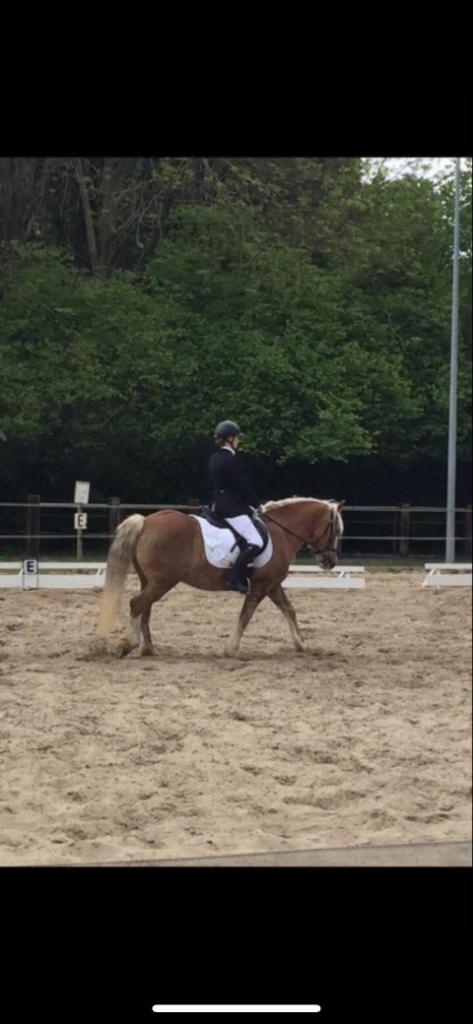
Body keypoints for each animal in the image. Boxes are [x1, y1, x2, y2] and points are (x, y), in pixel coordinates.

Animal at [97, 497, 345, 659]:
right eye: (335, 530)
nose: (330, 561)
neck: (280, 533)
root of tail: (146, 522)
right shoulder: (261, 586)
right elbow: (245, 616)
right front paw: (231, 649)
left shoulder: (273, 585)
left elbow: (289, 610)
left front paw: (301, 644)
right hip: (163, 581)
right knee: (137, 604)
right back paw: (127, 645)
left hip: (150, 580)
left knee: (145, 608)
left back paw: (148, 649)